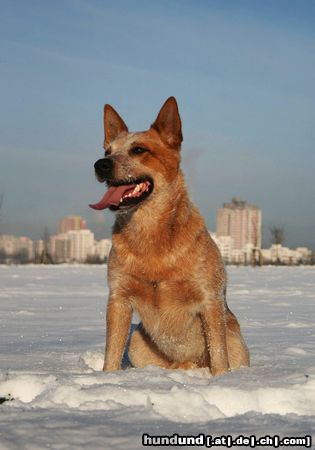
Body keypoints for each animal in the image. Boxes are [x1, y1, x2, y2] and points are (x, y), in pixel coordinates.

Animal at [90, 97, 251, 376]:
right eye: (108, 151)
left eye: (139, 149)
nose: (101, 164)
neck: (151, 235)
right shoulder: (119, 297)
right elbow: (111, 352)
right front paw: (106, 379)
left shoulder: (209, 299)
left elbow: (219, 355)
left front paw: (221, 380)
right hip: (137, 341)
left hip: (235, 339)